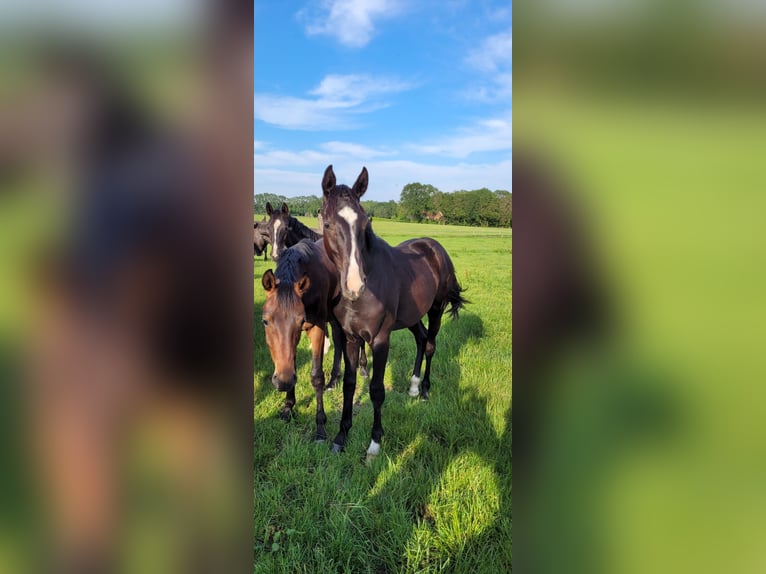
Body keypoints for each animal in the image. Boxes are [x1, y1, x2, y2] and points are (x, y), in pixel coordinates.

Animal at [260, 239, 344, 441]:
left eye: (301, 321)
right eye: (265, 321)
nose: (282, 382)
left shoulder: (317, 327)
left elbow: (317, 377)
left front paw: (320, 426)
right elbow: (292, 365)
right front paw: (288, 407)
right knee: (338, 338)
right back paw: (334, 380)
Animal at [320, 165, 467, 457]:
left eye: (365, 224)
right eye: (328, 224)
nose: (355, 286)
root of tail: (435, 247)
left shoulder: (380, 340)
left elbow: (376, 390)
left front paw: (375, 443)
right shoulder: (351, 338)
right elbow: (349, 384)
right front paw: (341, 436)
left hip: (435, 309)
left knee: (430, 344)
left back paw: (424, 391)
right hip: (412, 317)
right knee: (421, 338)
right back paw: (412, 387)